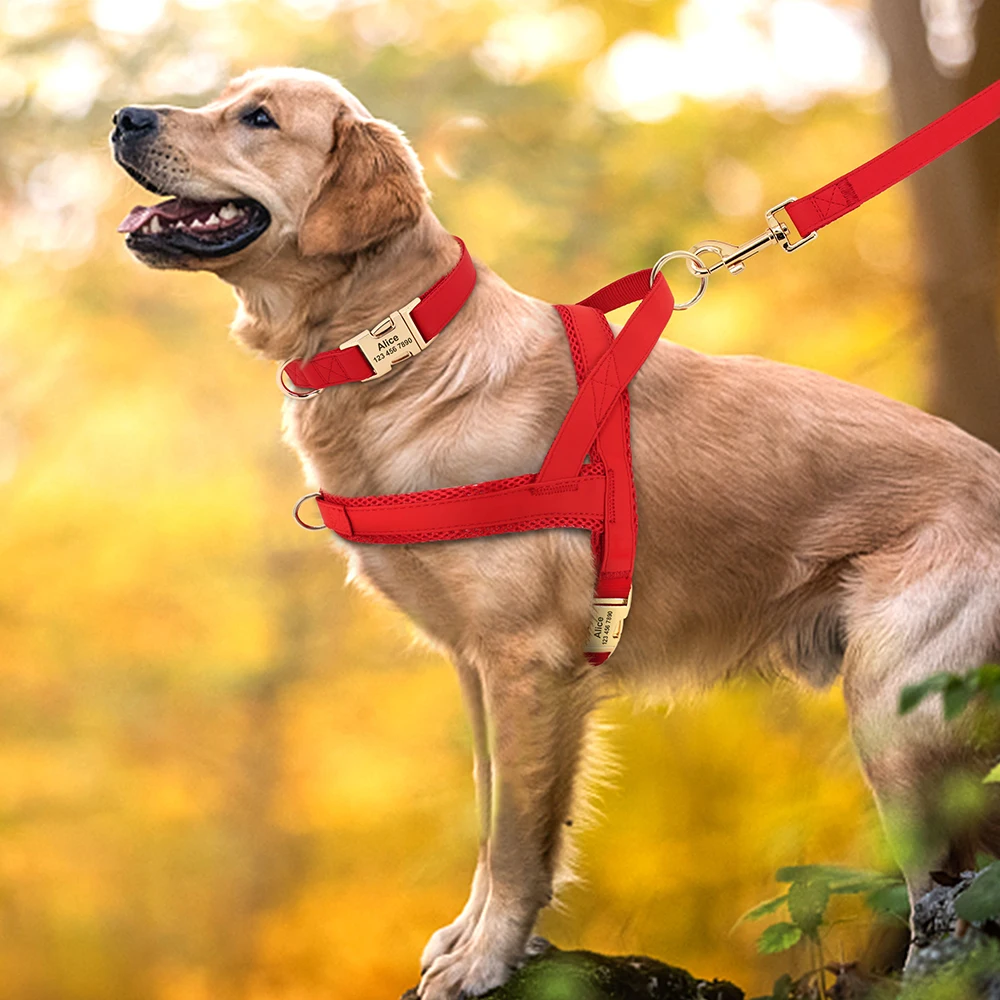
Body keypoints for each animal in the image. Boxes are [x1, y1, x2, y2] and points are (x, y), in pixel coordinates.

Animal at [113, 66, 1000, 996]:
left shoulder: (529, 662)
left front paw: (487, 960)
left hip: (899, 717)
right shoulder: (477, 667)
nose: (122, 117)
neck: (404, 349)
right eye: (226, 95)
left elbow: (515, 840)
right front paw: (471, 939)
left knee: (949, 895)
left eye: (257, 118)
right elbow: (488, 814)